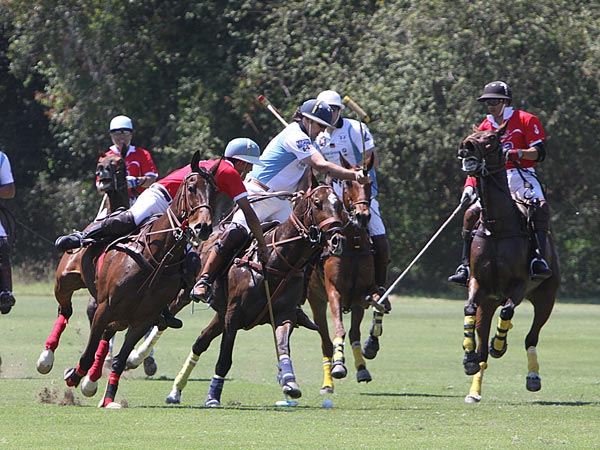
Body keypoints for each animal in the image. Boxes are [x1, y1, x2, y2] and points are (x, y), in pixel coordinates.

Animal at [36, 153, 129, 375]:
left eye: (119, 162)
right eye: (101, 162)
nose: (102, 170)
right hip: (63, 282)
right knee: (65, 310)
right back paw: (46, 356)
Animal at [62, 152, 218, 408]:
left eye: (214, 191)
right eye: (192, 187)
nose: (203, 227)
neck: (157, 256)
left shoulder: (143, 319)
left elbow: (119, 359)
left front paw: (108, 398)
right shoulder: (104, 308)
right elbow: (89, 352)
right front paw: (74, 377)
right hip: (67, 282)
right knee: (66, 310)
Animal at [165, 173, 346, 407]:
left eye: (339, 204)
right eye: (317, 203)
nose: (337, 240)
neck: (278, 261)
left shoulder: (284, 316)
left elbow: (283, 349)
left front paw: (290, 383)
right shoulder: (233, 315)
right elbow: (224, 360)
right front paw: (213, 396)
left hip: (220, 314)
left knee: (200, 342)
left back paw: (176, 390)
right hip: (188, 296)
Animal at [306, 155, 390, 394]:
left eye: (369, 184)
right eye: (349, 183)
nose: (362, 216)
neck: (353, 241)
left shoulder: (361, 295)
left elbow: (358, 328)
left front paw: (366, 358)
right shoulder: (334, 291)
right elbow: (339, 330)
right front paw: (339, 365)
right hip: (315, 299)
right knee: (325, 340)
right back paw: (328, 382)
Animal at [457, 124, 560, 403]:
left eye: (492, 138)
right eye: (475, 132)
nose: (465, 147)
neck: (496, 225)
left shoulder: (519, 284)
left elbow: (508, 312)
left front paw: (499, 345)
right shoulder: (478, 284)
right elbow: (469, 309)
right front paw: (468, 356)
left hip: (546, 297)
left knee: (531, 337)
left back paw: (532, 376)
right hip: (489, 302)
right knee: (483, 346)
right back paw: (474, 390)